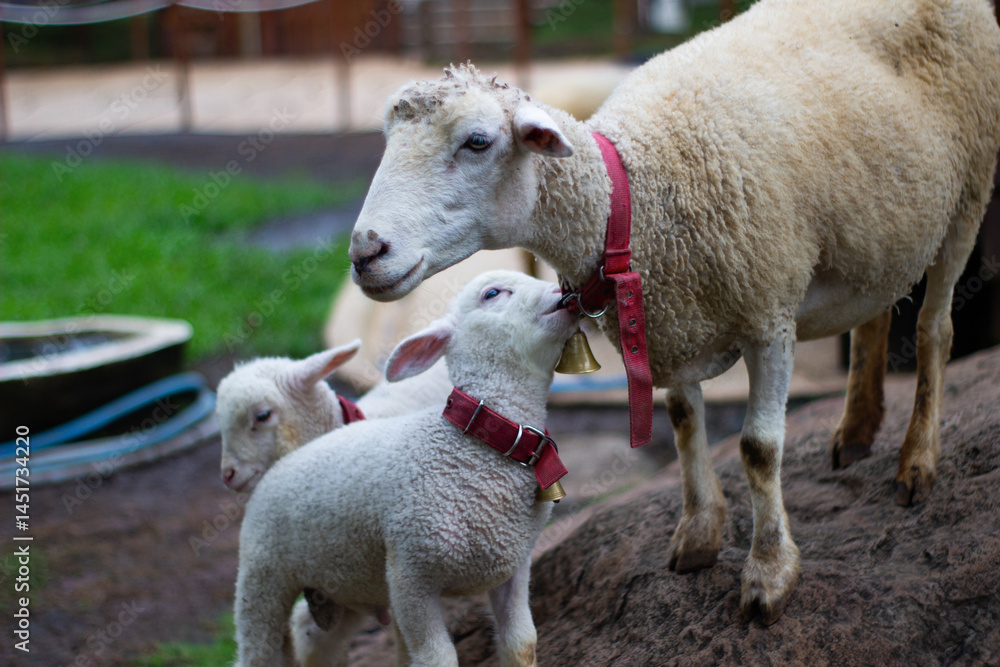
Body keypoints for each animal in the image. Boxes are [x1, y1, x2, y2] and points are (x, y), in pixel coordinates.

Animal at [233, 270, 577, 666]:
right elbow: (436, 657)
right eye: (492, 294)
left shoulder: (515, 567)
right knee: (260, 651)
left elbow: (522, 642)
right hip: (262, 578)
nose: (563, 292)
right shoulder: (411, 576)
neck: (476, 448)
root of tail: (284, 459)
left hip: (342, 587)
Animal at [346, 0, 1000, 625]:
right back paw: (858, 428)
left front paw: (769, 573)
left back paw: (917, 462)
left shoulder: (768, 315)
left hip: (970, 190)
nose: (364, 253)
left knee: (934, 330)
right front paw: (699, 535)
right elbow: (685, 423)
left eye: (478, 142)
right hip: (879, 228)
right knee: (876, 313)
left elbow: (759, 448)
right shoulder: (669, 322)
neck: (631, 198)